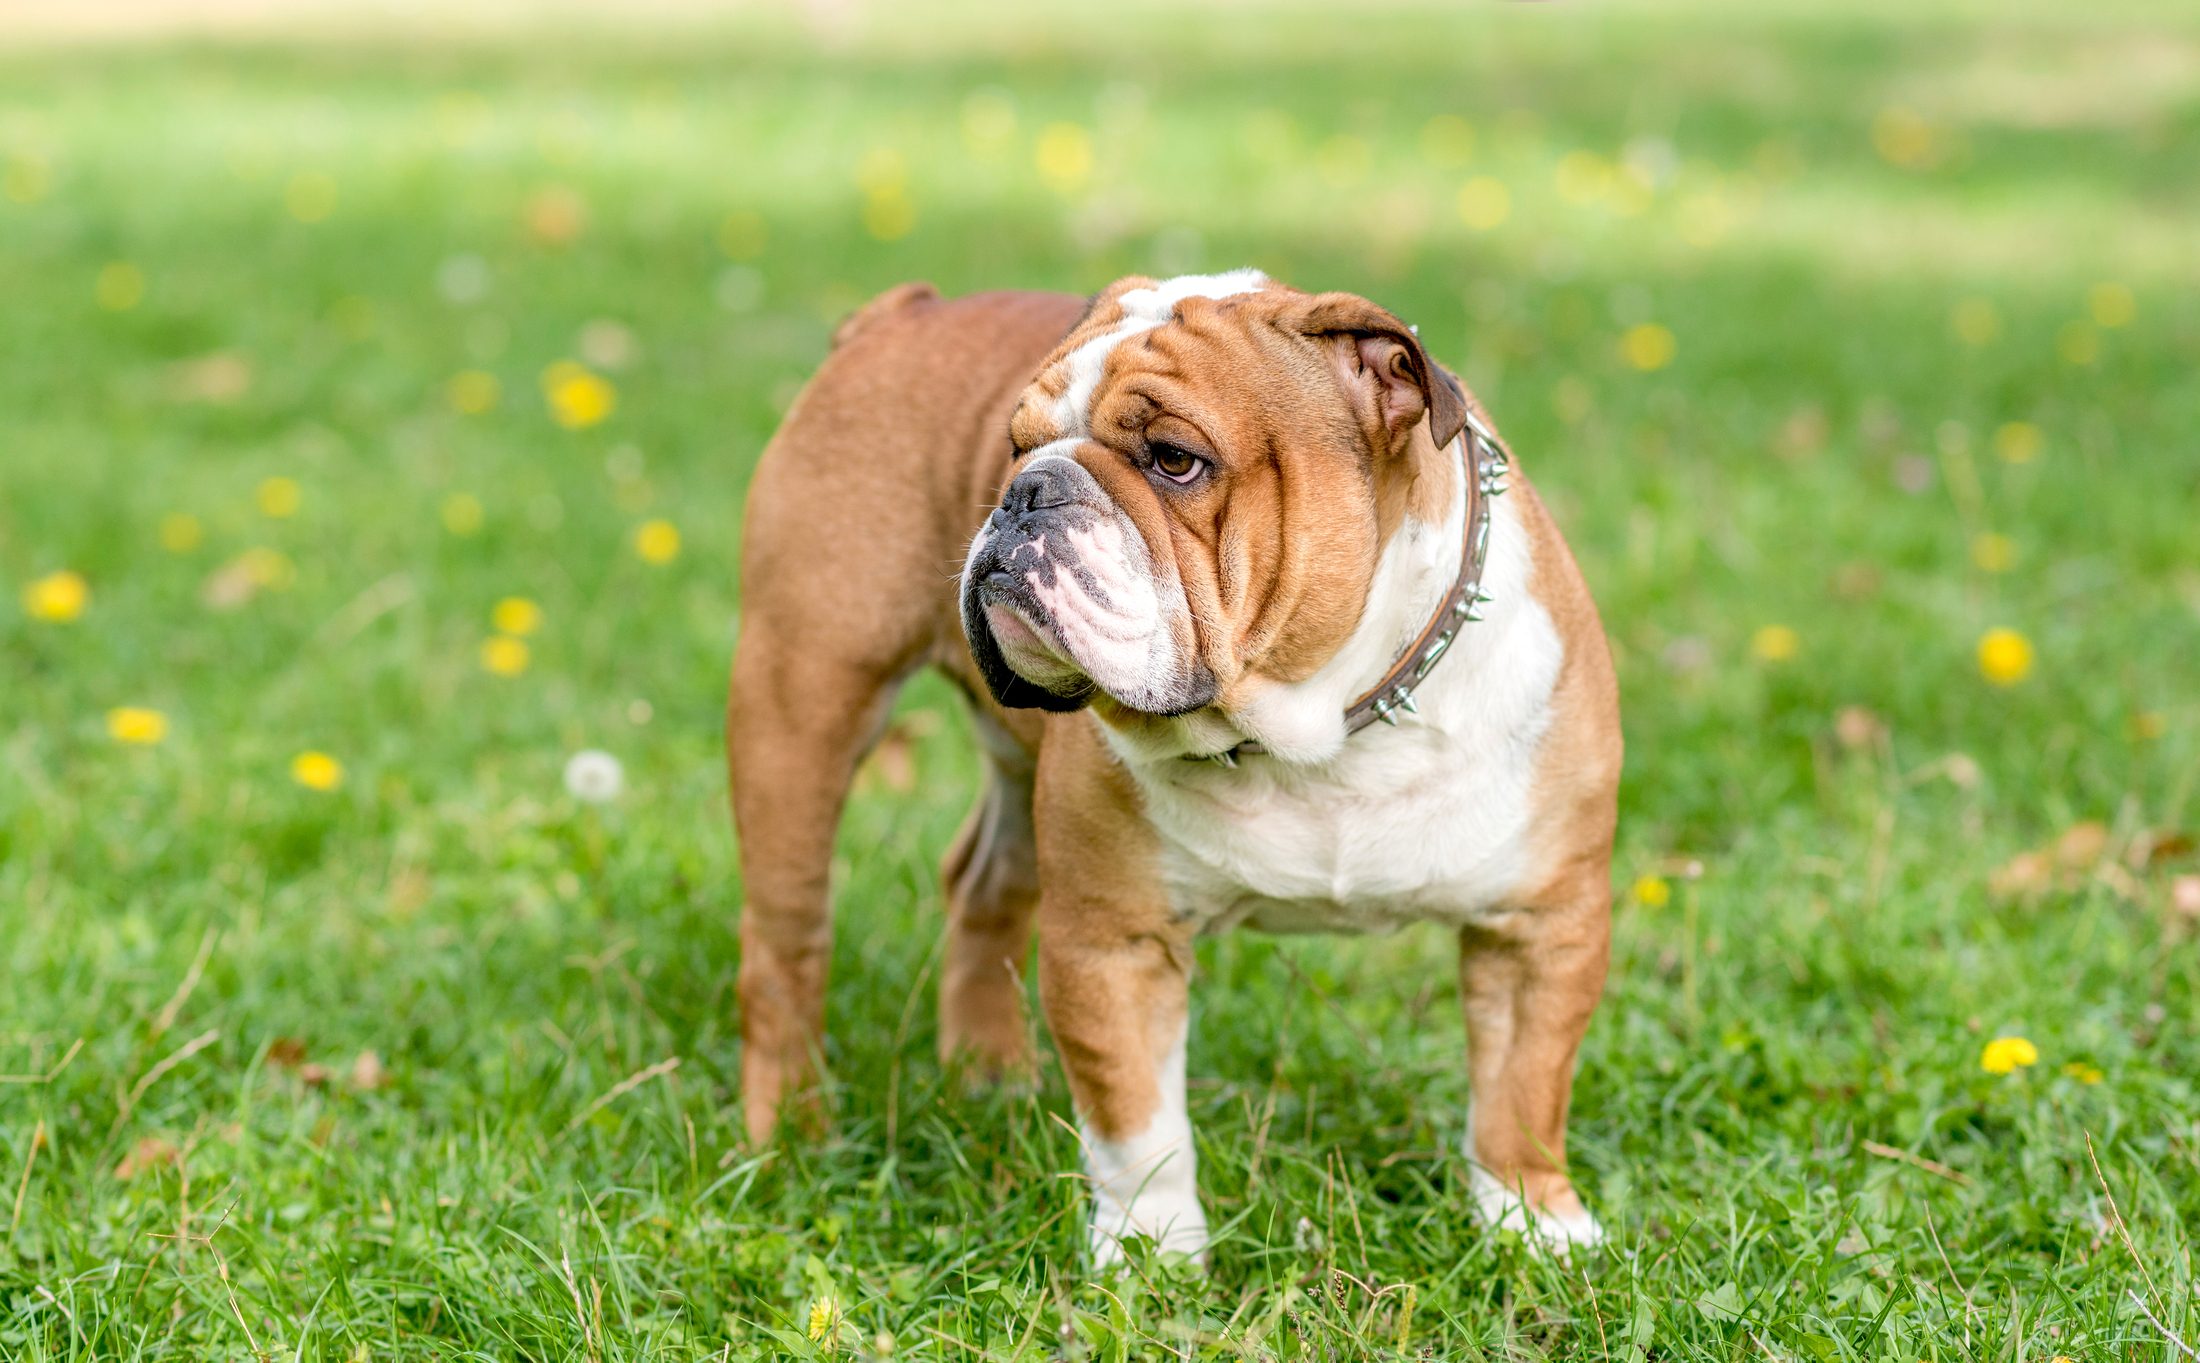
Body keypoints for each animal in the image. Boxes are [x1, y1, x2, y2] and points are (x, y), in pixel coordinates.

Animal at [734, 271, 1619, 1257]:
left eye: (1175, 460)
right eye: (1015, 447)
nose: (1024, 491)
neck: (1322, 727)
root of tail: (901, 310)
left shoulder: (1540, 925)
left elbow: (1522, 1090)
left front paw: (1536, 1226)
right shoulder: (1116, 938)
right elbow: (1138, 1121)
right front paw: (1151, 1252)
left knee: (982, 884)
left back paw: (987, 1077)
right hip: (801, 700)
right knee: (784, 944)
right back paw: (791, 1133)